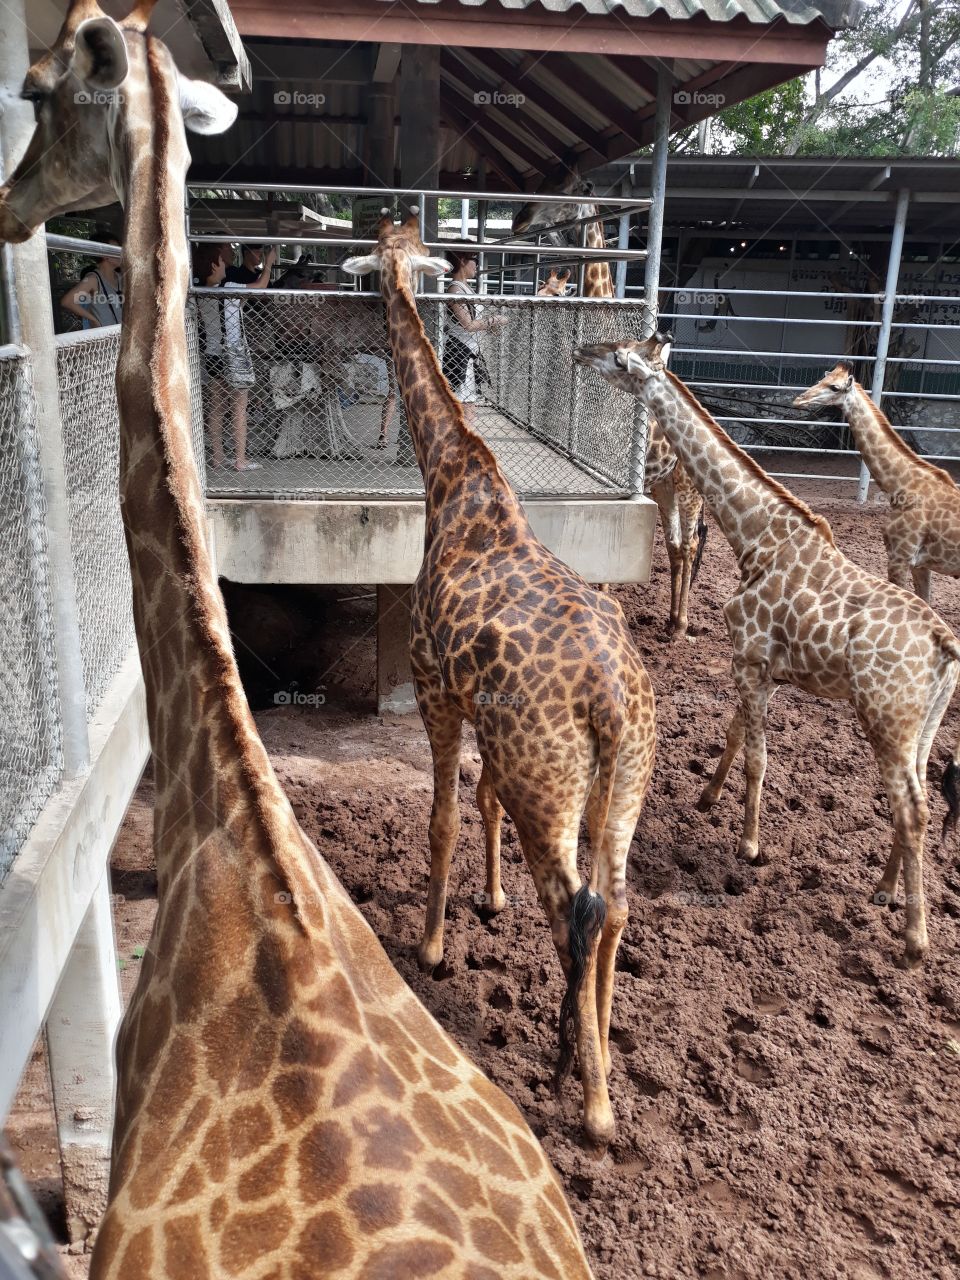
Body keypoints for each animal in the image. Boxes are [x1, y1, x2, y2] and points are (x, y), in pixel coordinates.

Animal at [343, 217, 656, 1149]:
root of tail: (612, 704)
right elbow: (478, 804)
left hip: (547, 786)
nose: (375, 290)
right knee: (615, 907)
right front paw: (488, 900)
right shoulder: (487, 719)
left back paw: (590, 1104)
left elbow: (443, 814)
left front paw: (433, 945)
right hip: (615, 787)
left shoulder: (434, 688)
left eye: (382, 257)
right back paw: (598, 1058)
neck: (453, 477)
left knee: (576, 912)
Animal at [513, 172, 707, 638]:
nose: (519, 217)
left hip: (687, 487)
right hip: (664, 485)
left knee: (690, 543)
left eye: (569, 190)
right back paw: (671, 622)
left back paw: (683, 624)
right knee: (676, 544)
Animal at [794, 362, 960, 603]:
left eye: (834, 387)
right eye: (821, 379)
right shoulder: (920, 564)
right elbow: (926, 602)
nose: (799, 400)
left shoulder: (900, 557)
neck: (901, 486)